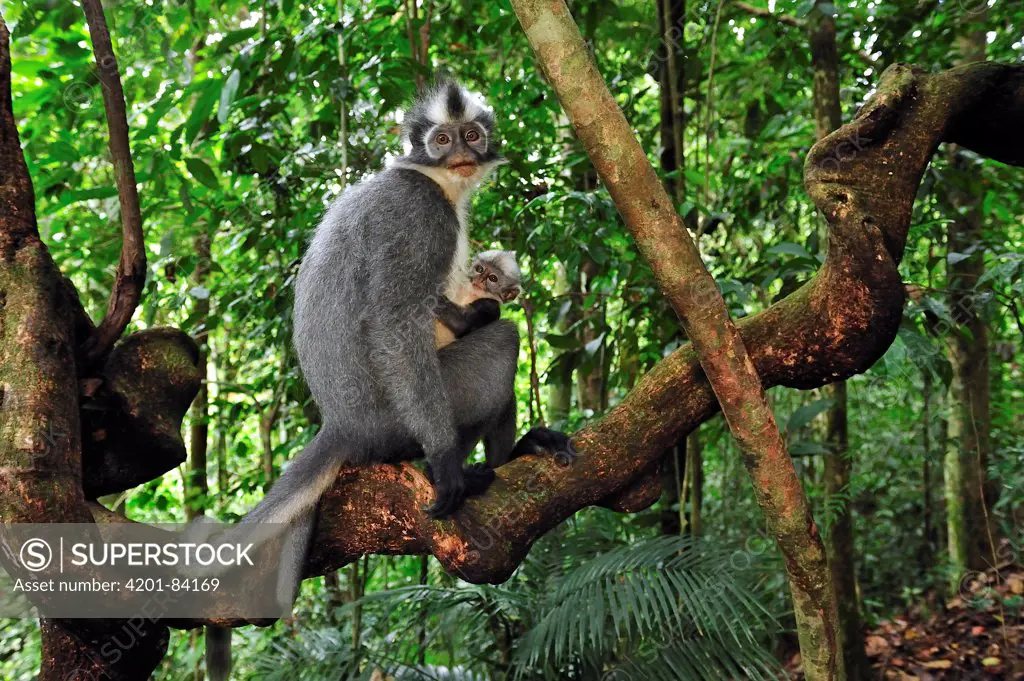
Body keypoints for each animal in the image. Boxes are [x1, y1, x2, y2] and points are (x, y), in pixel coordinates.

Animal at [205, 80, 577, 679]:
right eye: (442, 139)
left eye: (473, 135)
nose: (461, 153)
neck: (430, 178)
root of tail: (343, 424)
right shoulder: (421, 218)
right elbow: (396, 319)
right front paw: (447, 467)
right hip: (411, 413)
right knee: (502, 342)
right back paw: (486, 462)